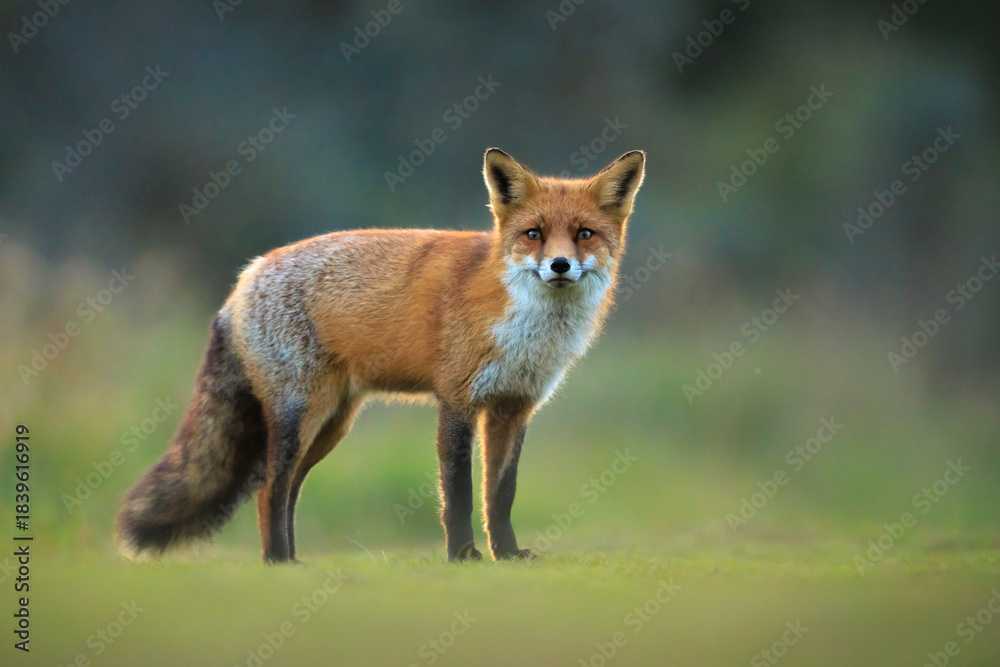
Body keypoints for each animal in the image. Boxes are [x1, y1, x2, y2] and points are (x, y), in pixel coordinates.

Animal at [115, 147, 645, 563]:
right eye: (534, 233)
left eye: (584, 234)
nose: (559, 265)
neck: (527, 329)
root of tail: (246, 276)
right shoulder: (457, 400)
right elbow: (458, 492)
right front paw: (463, 556)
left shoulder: (512, 409)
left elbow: (501, 495)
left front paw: (508, 554)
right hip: (300, 414)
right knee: (269, 489)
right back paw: (276, 563)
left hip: (331, 424)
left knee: (289, 491)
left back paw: (293, 559)